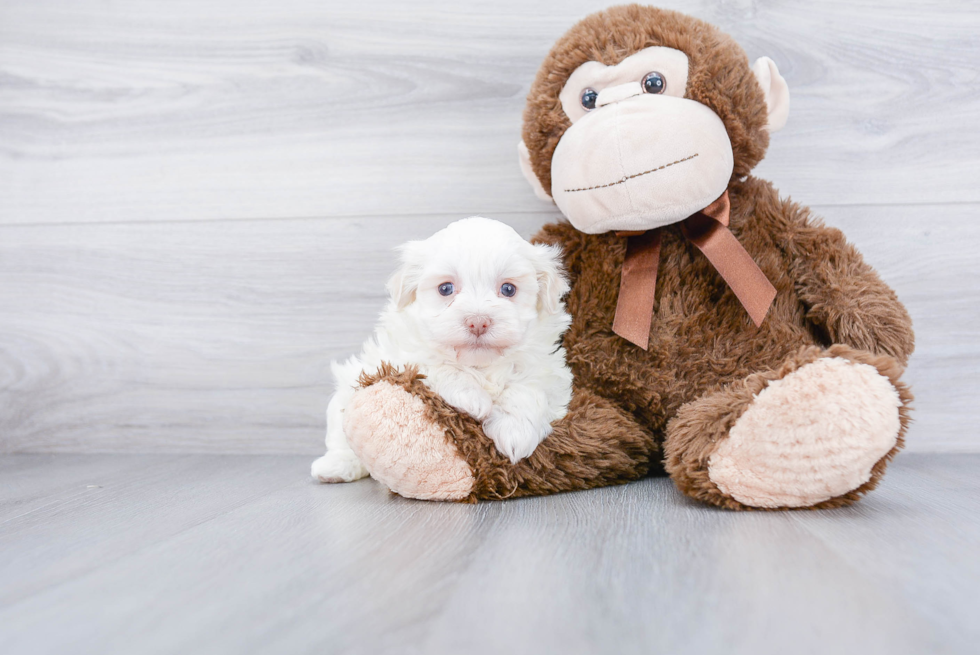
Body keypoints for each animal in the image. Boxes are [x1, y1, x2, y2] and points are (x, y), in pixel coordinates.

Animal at [312, 217, 576, 482]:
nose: (478, 321)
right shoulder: (399, 357)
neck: (479, 364)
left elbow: (529, 388)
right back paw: (334, 467)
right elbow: (437, 365)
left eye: (508, 289)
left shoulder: (549, 370)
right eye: (445, 288)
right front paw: (472, 398)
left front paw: (515, 432)